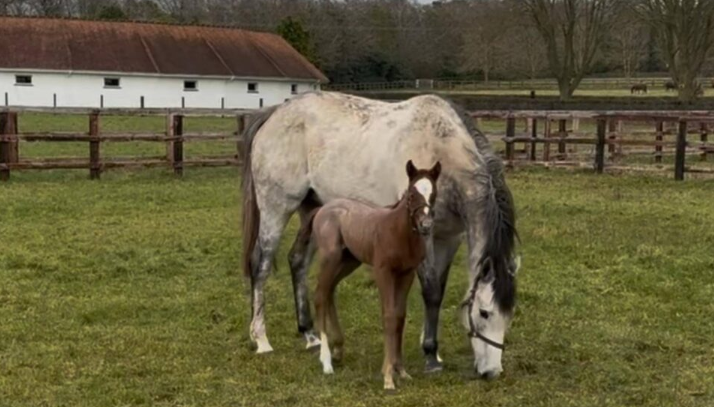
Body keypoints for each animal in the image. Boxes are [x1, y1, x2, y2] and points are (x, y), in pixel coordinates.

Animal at [304, 160, 441, 391]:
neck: (398, 232)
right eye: (412, 194)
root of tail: (323, 209)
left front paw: (401, 371)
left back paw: (338, 349)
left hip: (348, 261)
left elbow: (400, 316)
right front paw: (388, 377)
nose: (426, 225)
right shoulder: (383, 271)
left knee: (329, 291)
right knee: (320, 295)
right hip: (330, 258)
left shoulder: (406, 273)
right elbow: (388, 316)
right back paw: (326, 361)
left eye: (434, 193)